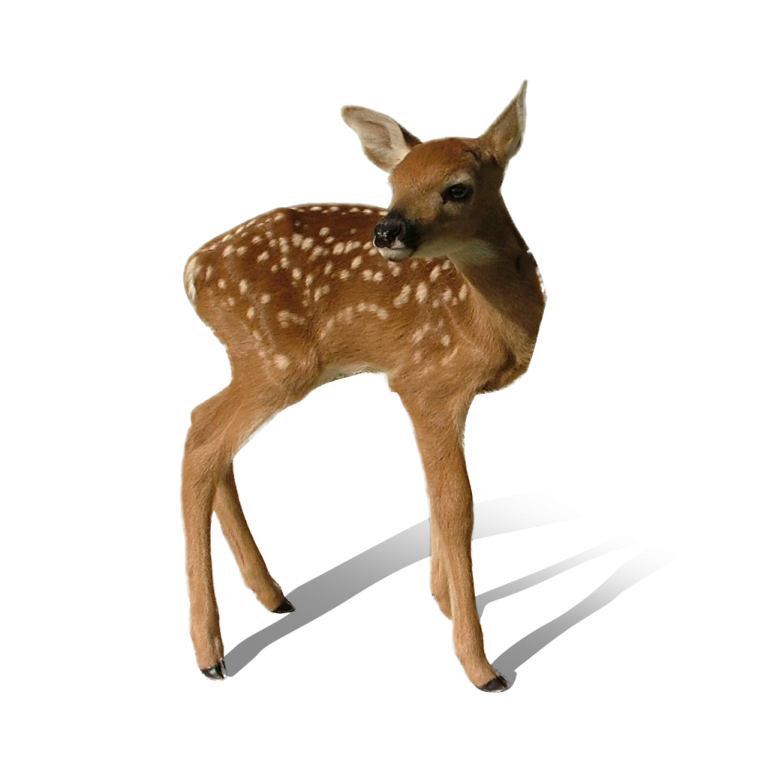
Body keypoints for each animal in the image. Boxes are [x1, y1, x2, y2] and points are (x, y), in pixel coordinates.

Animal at [181, 79, 545, 693]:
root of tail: (193, 272)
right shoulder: (426, 382)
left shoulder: (442, 395)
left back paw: (272, 596)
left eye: (457, 188)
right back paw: (211, 654)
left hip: (254, 360)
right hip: (278, 361)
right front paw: (480, 665)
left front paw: (441, 599)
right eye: (393, 185)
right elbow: (457, 506)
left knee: (206, 431)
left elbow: (435, 496)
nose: (387, 230)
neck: (489, 315)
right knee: (203, 443)